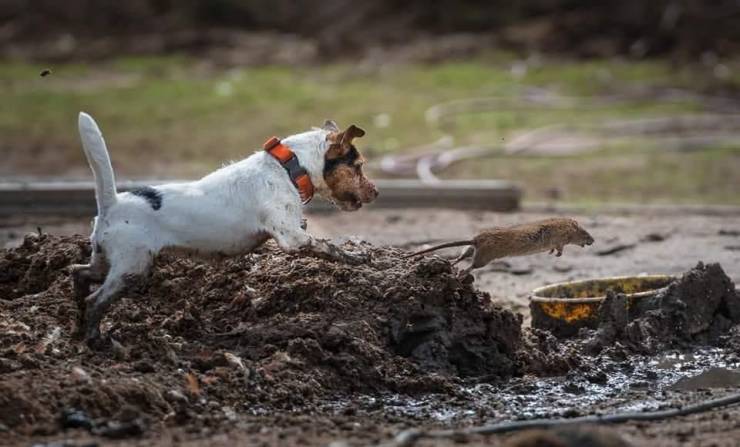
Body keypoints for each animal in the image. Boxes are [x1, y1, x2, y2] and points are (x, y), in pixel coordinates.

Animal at [72, 113, 378, 346]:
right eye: (359, 166)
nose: (376, 192)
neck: (287, 168)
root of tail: (111, 205)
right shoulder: (294, 238)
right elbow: (330, 247)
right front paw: (358, 258)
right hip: (132, 267)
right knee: (96, 299)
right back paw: (95, 340)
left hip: (106, 261)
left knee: (79, 273)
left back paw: (77, 323)